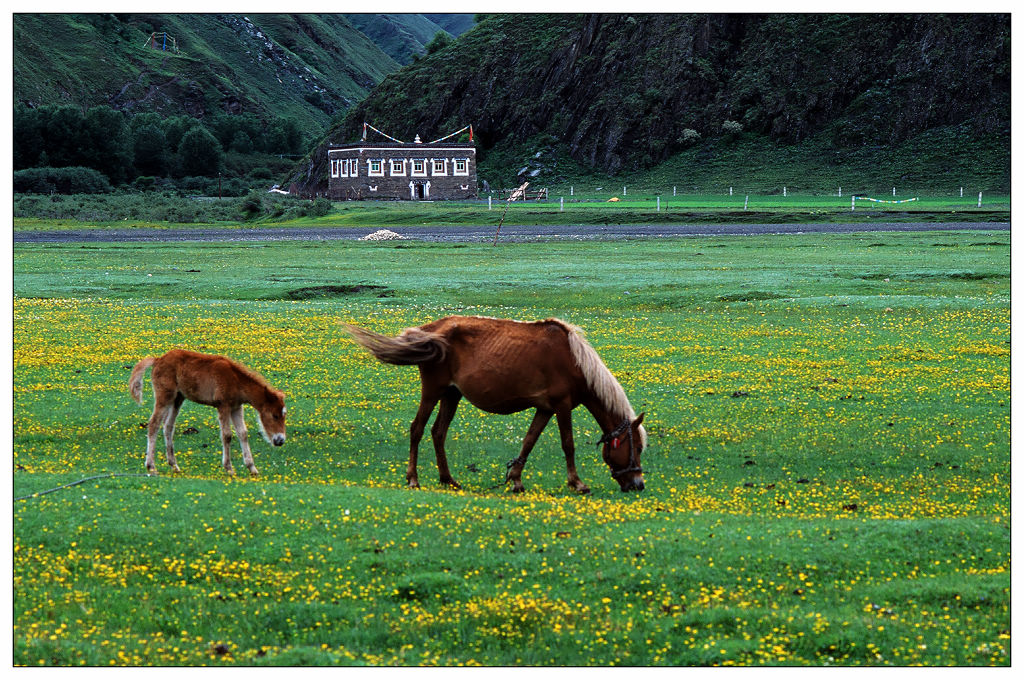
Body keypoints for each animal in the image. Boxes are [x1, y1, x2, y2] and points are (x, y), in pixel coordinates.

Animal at [130, 348, 288, 475]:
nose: (280, 440)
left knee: (168, 426)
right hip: (165, 396)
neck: (236, 381)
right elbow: (227, 435)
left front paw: (252, 468)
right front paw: (229, 468)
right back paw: (151, 466)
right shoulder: (223, 405)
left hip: (178, 398)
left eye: (284, 415)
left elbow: (243, 433)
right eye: (274, 415)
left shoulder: (236, 407)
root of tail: (157, 360)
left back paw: (174, 465)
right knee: (154, 424)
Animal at [344, 315, 647, 491]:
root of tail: (429, 330)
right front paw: (578, 483)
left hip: (451, 395)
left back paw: (448, 479)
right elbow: (568, 444)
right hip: (432, 391)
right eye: (637, 447)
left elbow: (529, 441)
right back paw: (413, 478)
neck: (574, 360)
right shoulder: (561, 406)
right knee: (417, 429)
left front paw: (515, 479)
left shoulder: (545, 409)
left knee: (438, 433)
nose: (638, 484)